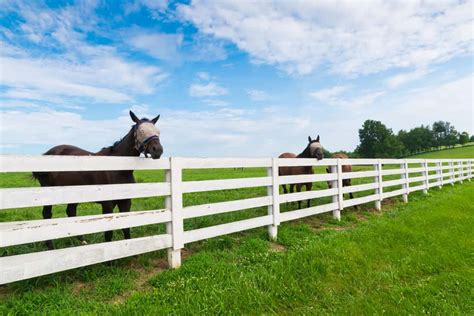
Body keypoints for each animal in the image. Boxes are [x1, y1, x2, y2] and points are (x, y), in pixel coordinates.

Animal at [32, 111, 163, 249]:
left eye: (158, 131)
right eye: (141, 130)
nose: (158, 150)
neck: (118, 169)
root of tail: (47, 153)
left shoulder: (126, 202)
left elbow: (126, 228)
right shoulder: (107, 205)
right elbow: (108, 233)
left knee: (70, 212)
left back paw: (81, 240)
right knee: (47, 214)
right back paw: (50, 245)